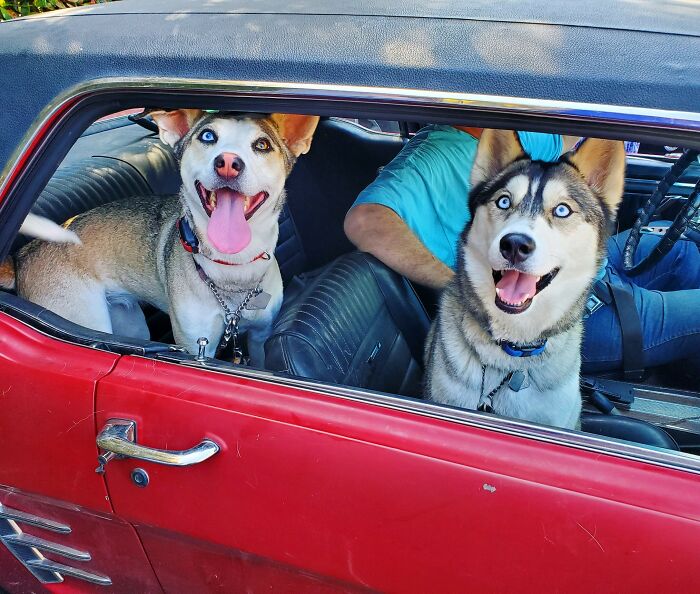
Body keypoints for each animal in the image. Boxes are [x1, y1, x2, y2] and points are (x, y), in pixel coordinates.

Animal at [0, 108, 320, 364]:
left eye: (262, 145)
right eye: (207, 136)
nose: (228, 162)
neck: (233, 271)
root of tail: (21, 256)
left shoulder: (260, 337)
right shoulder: (197, 347)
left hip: (129, 321)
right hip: (85, 316)